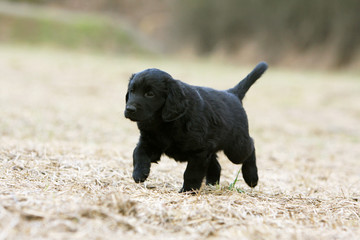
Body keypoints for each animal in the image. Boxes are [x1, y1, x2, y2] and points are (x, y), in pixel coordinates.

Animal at [124, 62, 268, 193]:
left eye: (150, 94)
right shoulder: (150, 142)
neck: (162, 123)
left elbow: (191, 173)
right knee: (216, 165)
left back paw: (252, 177)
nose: (129, 109)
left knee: (250, 147)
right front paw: (139, 173)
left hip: (236, 149)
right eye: (132, 91)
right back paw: (212, 184)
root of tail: (232, 94)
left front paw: (188, 190)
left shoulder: (199, 151)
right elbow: (138, 152)